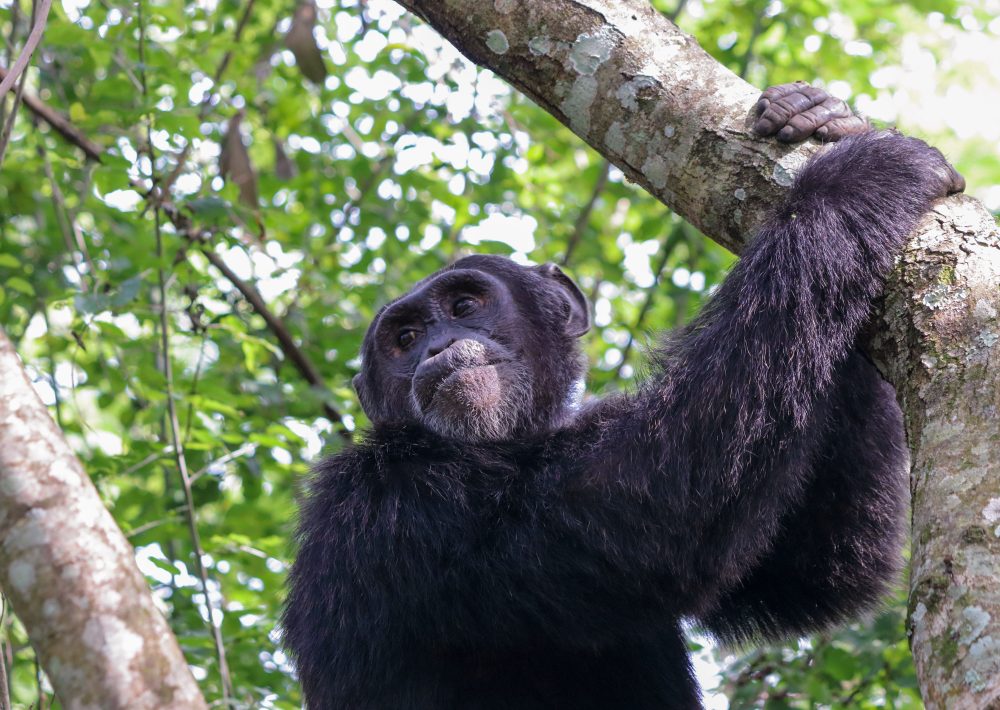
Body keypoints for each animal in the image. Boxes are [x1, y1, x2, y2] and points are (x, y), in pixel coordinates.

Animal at [280, 82, 960, 708]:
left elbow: (804, 573)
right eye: (405, 337)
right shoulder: (387, 499)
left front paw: (824, 116)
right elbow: (655, 507)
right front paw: (860, 176)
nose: (437, 347)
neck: (496, 446)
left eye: (465, 306)